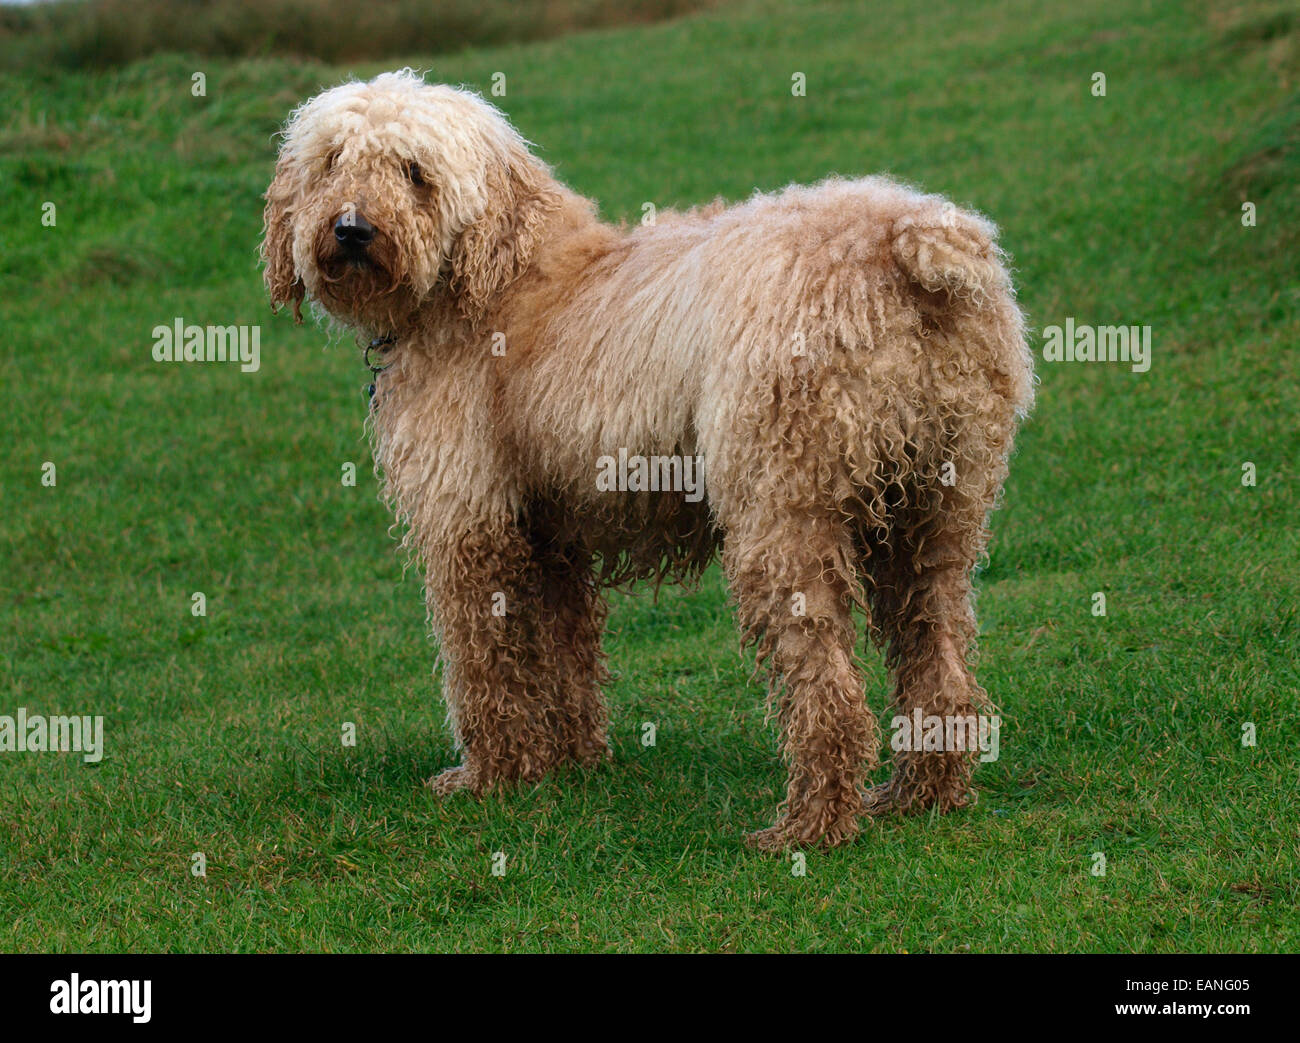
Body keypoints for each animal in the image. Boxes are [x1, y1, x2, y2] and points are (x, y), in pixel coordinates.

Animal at [261, 68, 1034, 842]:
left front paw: (492, 776)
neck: (493, 276)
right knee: (940, 663)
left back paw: (808, 825)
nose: (351, 229)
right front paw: (569, 760)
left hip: (784, 516)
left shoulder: (471, 525)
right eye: (333, 164)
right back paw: (921, 794)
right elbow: (564, 651)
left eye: (413, 172)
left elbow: (486, 663)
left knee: (828, 691)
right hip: (936, 510)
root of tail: (903, 243)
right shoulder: (551, 531)